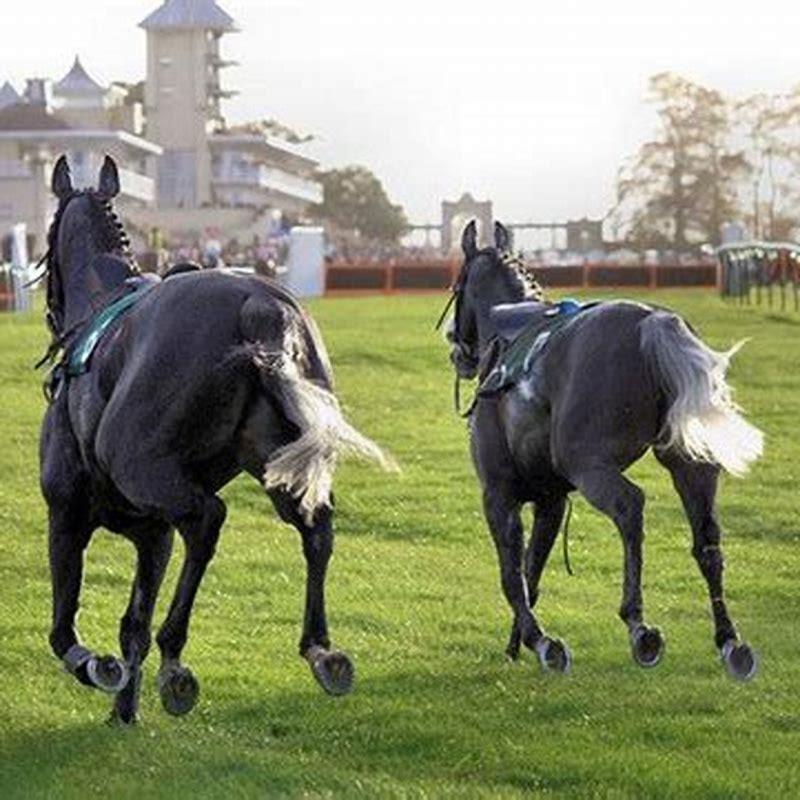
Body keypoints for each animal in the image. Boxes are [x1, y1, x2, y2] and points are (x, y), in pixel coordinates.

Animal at [38, 155, 392, 724]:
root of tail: (262, 307)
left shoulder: (67, 512)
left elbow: (63, 629)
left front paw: (97, 666)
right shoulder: (152, 533)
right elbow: (132, 625)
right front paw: (123, 711)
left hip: (147, 470)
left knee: (208, 519)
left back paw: (176, 659)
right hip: (280, 463)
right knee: (314, 528)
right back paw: (320, 649)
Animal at [442, 219, 764, 680]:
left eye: (456, 284)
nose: (456, 345)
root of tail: (652, 323)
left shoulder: (498, 493)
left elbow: (512, 574)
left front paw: (539, 640)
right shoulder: (551, 499)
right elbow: (531, 571)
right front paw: (517, 644)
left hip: (588, 465)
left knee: (631, 507)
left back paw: (638, 625)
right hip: (691, 465)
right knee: (707, 538)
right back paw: (729, 640)